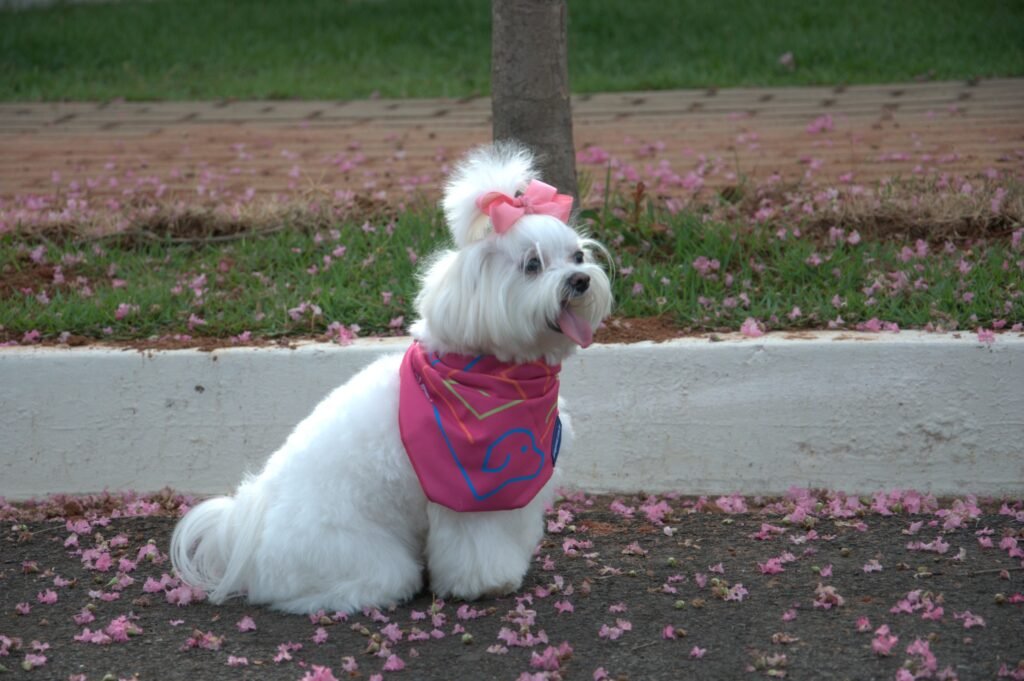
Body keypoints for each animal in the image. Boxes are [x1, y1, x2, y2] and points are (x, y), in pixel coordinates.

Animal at [172, 140, 610, 614]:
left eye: (577, 256)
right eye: (532, 264)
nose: (581, 280)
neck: (495, 376)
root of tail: (246, 533)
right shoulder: (469, 495)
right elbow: (477, 547)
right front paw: (486, 583)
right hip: (363, 556)